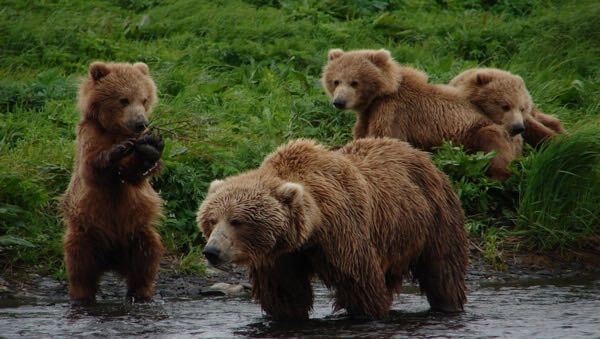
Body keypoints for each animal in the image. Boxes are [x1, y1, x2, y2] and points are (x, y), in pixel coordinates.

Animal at [61, 61, 165, 302]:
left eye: (144, 99)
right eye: (123, 99)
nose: (141, 123)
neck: (116, 130)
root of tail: (111, 261)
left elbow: (133, 174)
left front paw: (151, 148)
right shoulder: (90, 135)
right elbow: (92, 167)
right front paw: (115, 151)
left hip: (138, 233)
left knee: (146, 260)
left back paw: (141, 293)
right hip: (85, 232)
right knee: (79, 264)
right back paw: (82, 294)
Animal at [197, 138, 468, 322]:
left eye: (236, 221)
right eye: (211, 220)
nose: (212, 251)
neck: (311, 231)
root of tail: (419, 153)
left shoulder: (343, 236)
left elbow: (360, 284)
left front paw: (364, 314)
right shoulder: (281, 257)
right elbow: (284, 295)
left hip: (434, 217)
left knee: (442, 270)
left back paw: (447, 305)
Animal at [322, 48, 524, 182]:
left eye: (354, 82)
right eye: (336, 81)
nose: (339, 102)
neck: (380, 96)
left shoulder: (393, 112)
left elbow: (386, 138)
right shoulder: (367, 114)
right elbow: (361, 136)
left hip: (480, 132)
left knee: (493, 143)